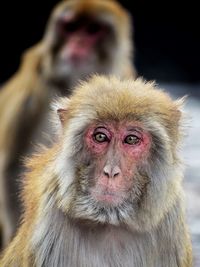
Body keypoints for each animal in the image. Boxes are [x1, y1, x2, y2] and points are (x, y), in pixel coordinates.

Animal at [0, 75, 194, 267]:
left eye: (131, 139)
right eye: (100, 137)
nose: (111, 172)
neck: (109, 222)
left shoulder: (170, 225)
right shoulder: (50, 222)